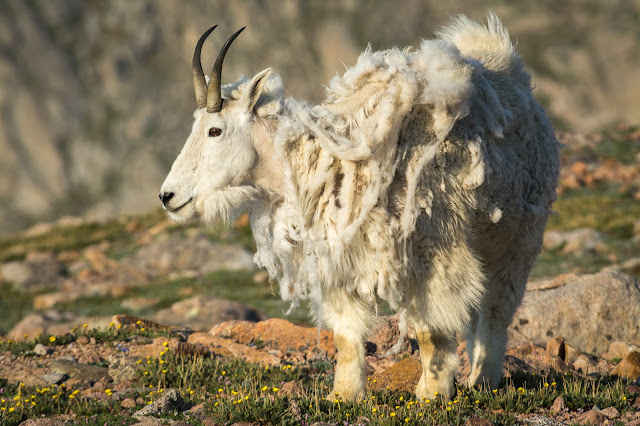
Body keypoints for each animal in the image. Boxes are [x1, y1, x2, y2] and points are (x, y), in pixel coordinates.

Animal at [160, 12, 560, 400]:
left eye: (215, 130)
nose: (168, 196)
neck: (331, 159)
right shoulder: (340, 256)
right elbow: (346, 334)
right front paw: (344, 395)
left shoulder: (435, 252)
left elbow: (431, 329)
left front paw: (432, 394)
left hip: (520, 238)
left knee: (496, 307)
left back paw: (482, 379)